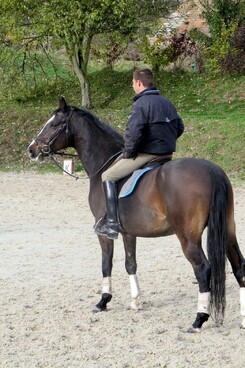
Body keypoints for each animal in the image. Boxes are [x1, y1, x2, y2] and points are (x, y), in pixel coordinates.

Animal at [27, 96, 245, 332]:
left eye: (54, 124)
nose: (31, 149)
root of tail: (212, 170)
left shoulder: (104, 234)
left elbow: (106, 263)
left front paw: (103, 300)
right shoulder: (128, 232)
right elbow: (130, 263)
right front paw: (135, 301)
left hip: (188, 238)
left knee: (203, 270)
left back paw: (198, 319)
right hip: (228, 231)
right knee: (239, 266)